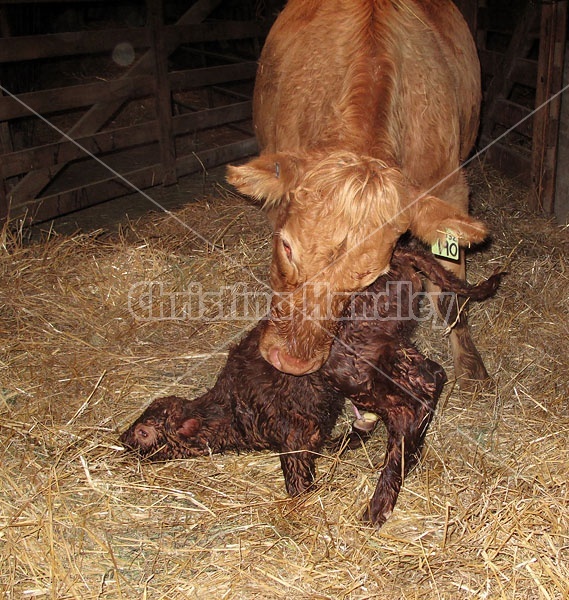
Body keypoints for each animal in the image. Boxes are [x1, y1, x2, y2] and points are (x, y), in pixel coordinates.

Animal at [226, 0, 488, 384]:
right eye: (287, 247)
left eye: (369, 277)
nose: (291, 362)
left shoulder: (450, 187)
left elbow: (453, 294)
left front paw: (470, 366)